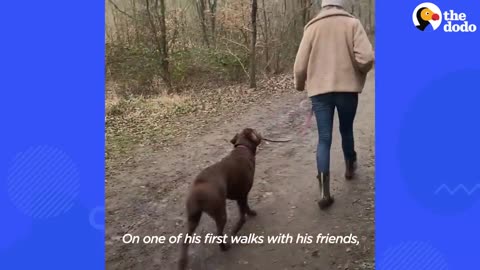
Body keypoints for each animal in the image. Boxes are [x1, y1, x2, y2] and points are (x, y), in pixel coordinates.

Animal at [178, 127, 262, 268]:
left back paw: (182, 262)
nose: (259, 132)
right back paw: (225, 247)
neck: (243, 147)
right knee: (219, 234)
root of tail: (198, 192)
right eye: (255, 131)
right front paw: (244, 220)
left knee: (185, 240)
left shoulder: (240, 196)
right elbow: (244, 211)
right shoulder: (243, 195)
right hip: (220, 213)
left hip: (193, 218)